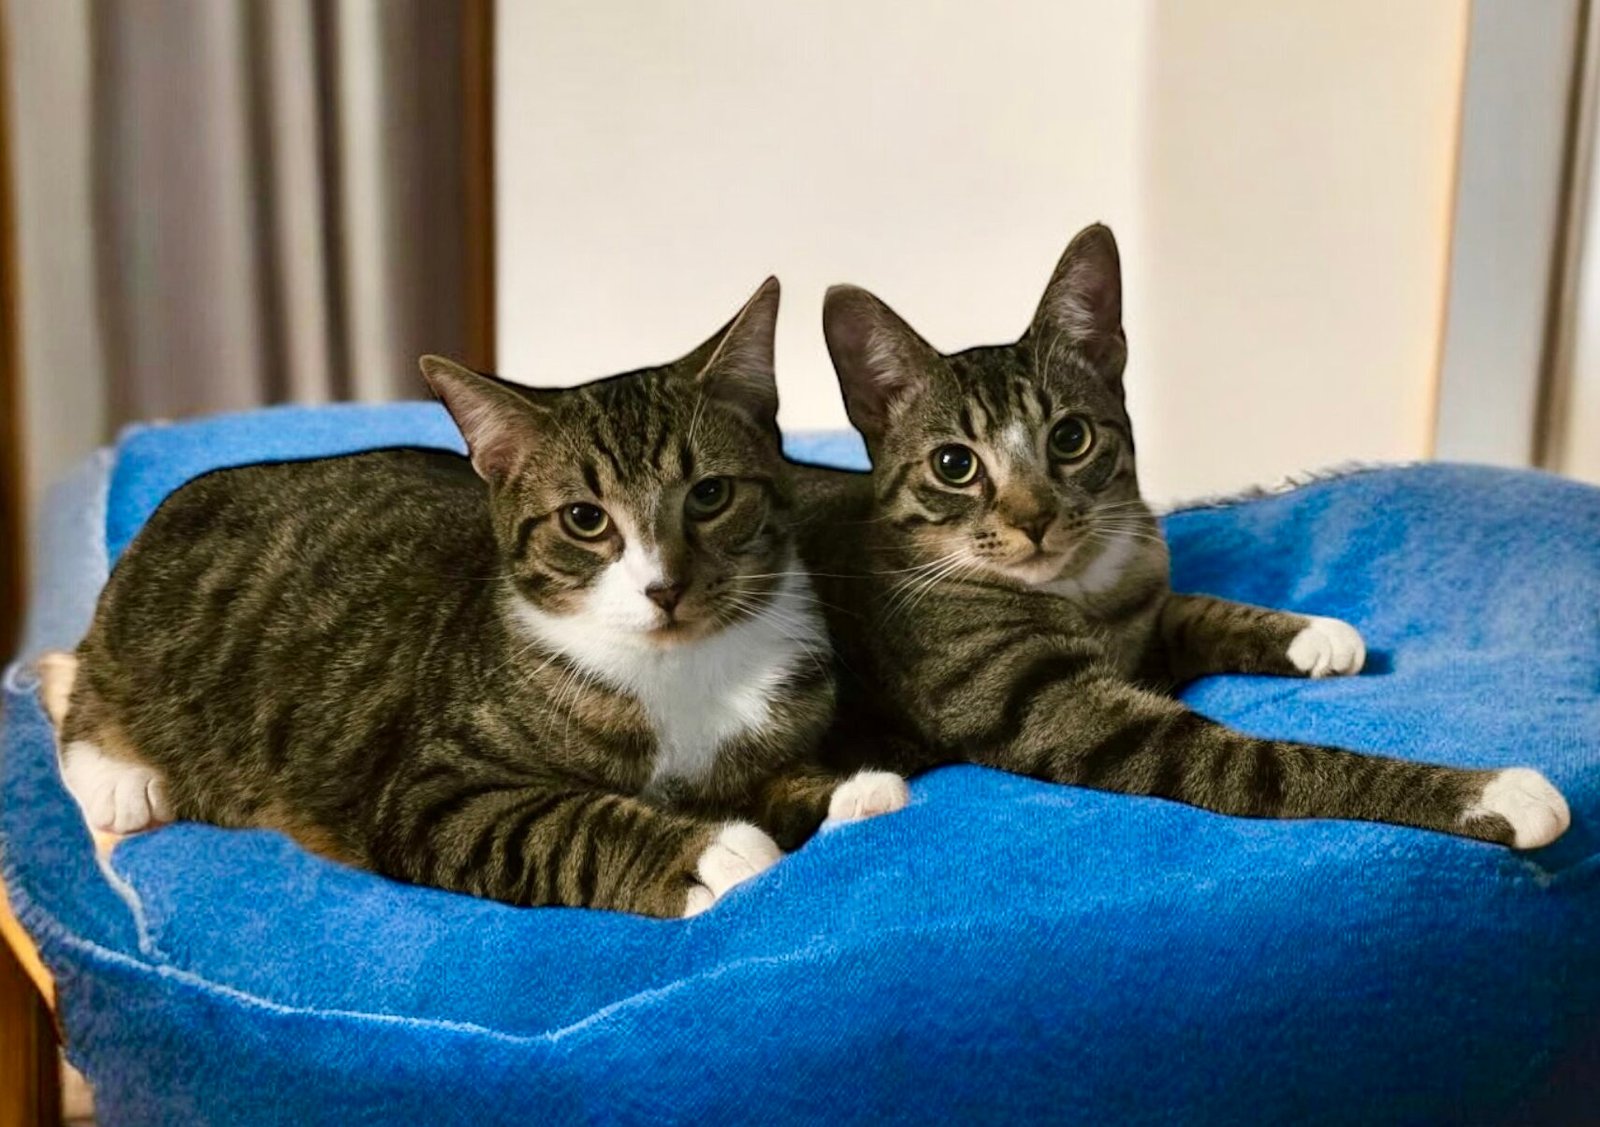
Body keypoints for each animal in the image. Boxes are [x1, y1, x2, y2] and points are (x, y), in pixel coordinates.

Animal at [38, 279, 908, 919]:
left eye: (711, 495)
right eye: (585, 519)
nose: (664, 587)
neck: (678, 669)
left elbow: (781, 777)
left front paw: (850, 794)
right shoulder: (432, 790)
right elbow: (558, 823)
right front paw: (709, 854)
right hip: (143, 644)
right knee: (79, 691)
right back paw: (119, 775)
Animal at [791, 224, 1571, 850]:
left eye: (1070, 437)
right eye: (955, 464)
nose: (1034, 519)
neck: (1075, 590)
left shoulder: (1144, 611)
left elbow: (1195, 608)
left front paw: (1316, 634)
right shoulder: (1055, 708)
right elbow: (1261, 763)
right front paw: (1488, 793)